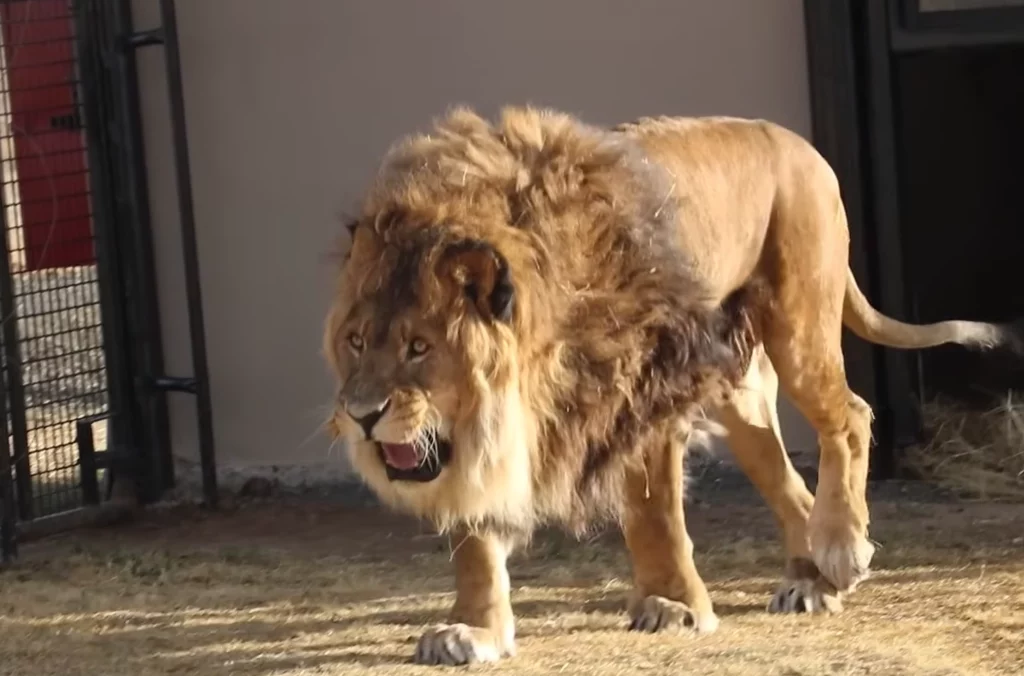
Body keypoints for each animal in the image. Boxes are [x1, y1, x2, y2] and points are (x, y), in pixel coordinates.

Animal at [323, 106, 1021, 665]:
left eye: (419, 347)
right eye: (356, 342)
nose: (361, 415)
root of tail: (799, 143)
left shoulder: (647, 393)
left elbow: (654, 512)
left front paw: (671, 607)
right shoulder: (483, 439)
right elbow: (475, 536)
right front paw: (473, 631)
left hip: (800, 328)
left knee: (848, 417)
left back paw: (842, 549)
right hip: (741, 398)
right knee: (790, 484)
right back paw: (812, 582)